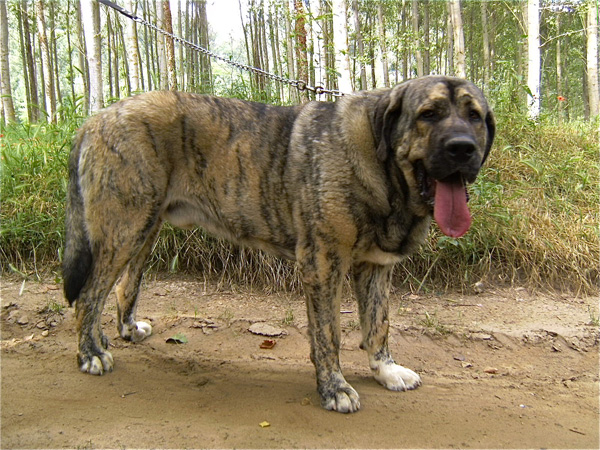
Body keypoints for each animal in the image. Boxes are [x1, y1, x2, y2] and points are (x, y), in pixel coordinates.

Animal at [62, 75, 496, 414]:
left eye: (474, 116)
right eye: (429, 114)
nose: (463, 148)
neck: (380, 160)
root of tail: (95, 118)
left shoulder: (375, 268)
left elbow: (378, 325)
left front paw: (385, 370)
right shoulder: (322, 262)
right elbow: (328, 334)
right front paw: (334, 389)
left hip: (143, 229)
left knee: (121, 288)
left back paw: (119, 333)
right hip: (125, 227)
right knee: (88, 295)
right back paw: (90, 354)